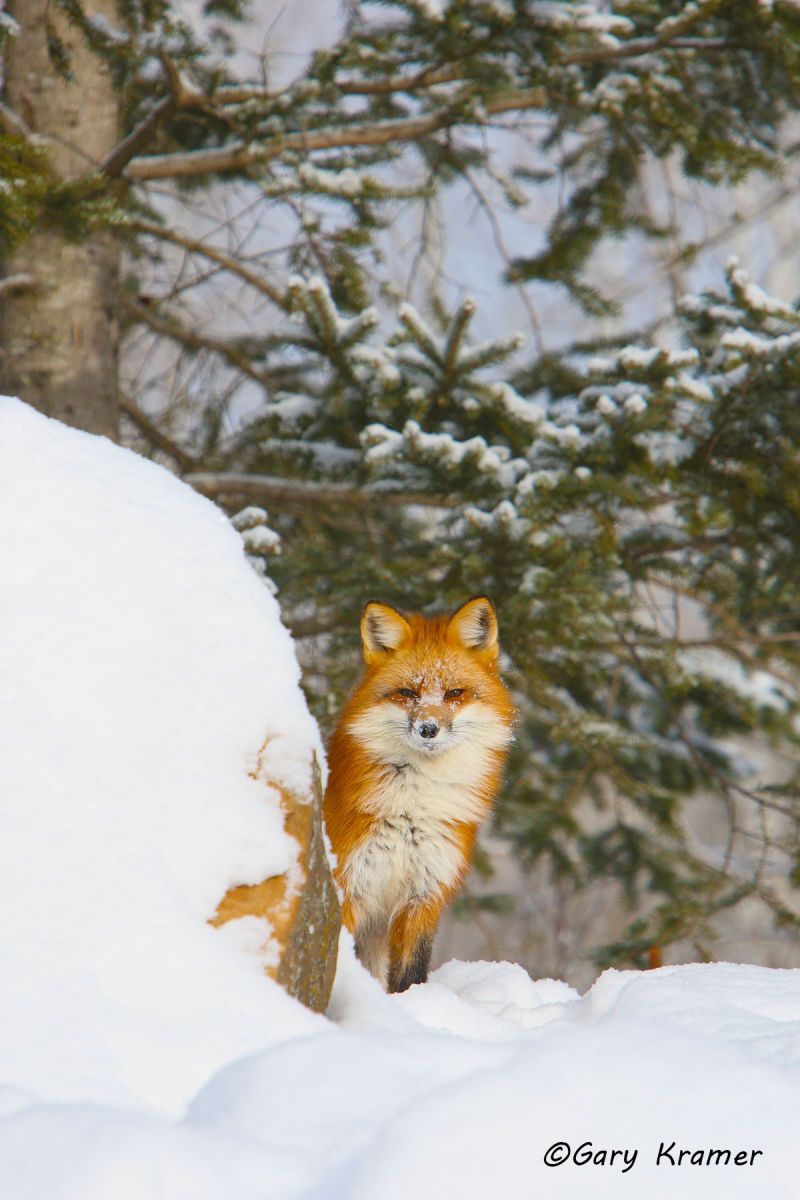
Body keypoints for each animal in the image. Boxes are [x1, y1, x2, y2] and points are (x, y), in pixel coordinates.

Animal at [323, 595, 515, 993]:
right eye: (408, 693)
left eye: (454, 693)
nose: (428, 729)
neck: (413, 809)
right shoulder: (348, 887)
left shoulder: (424, 896)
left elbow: (410, 976)